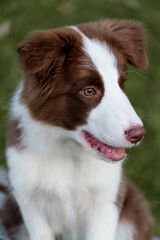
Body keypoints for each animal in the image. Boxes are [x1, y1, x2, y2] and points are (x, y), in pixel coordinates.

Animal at [5, 19, 153, 239]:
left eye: (121, 84)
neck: (68, 153)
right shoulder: (29, 200)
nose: (138, 134)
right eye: (89, 91)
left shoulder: (106, 200)